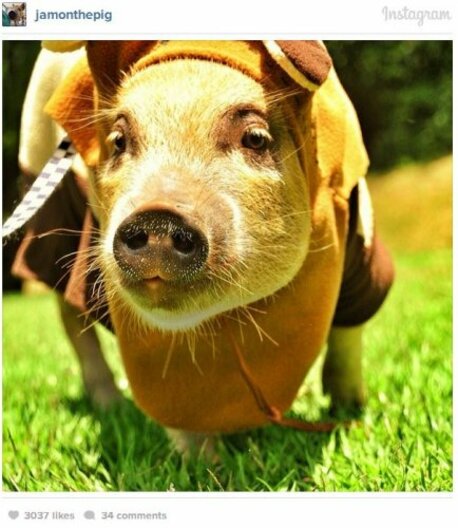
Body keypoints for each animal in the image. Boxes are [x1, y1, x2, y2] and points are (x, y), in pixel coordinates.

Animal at [11, 41, 394, 455]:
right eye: (118, 142)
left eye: (256, 138)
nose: (157, 215)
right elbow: (176, 394)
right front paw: (206, 464)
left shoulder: (358, 234)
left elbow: (349, 332)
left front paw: (352, 414)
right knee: (72, 319)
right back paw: (111, 406)